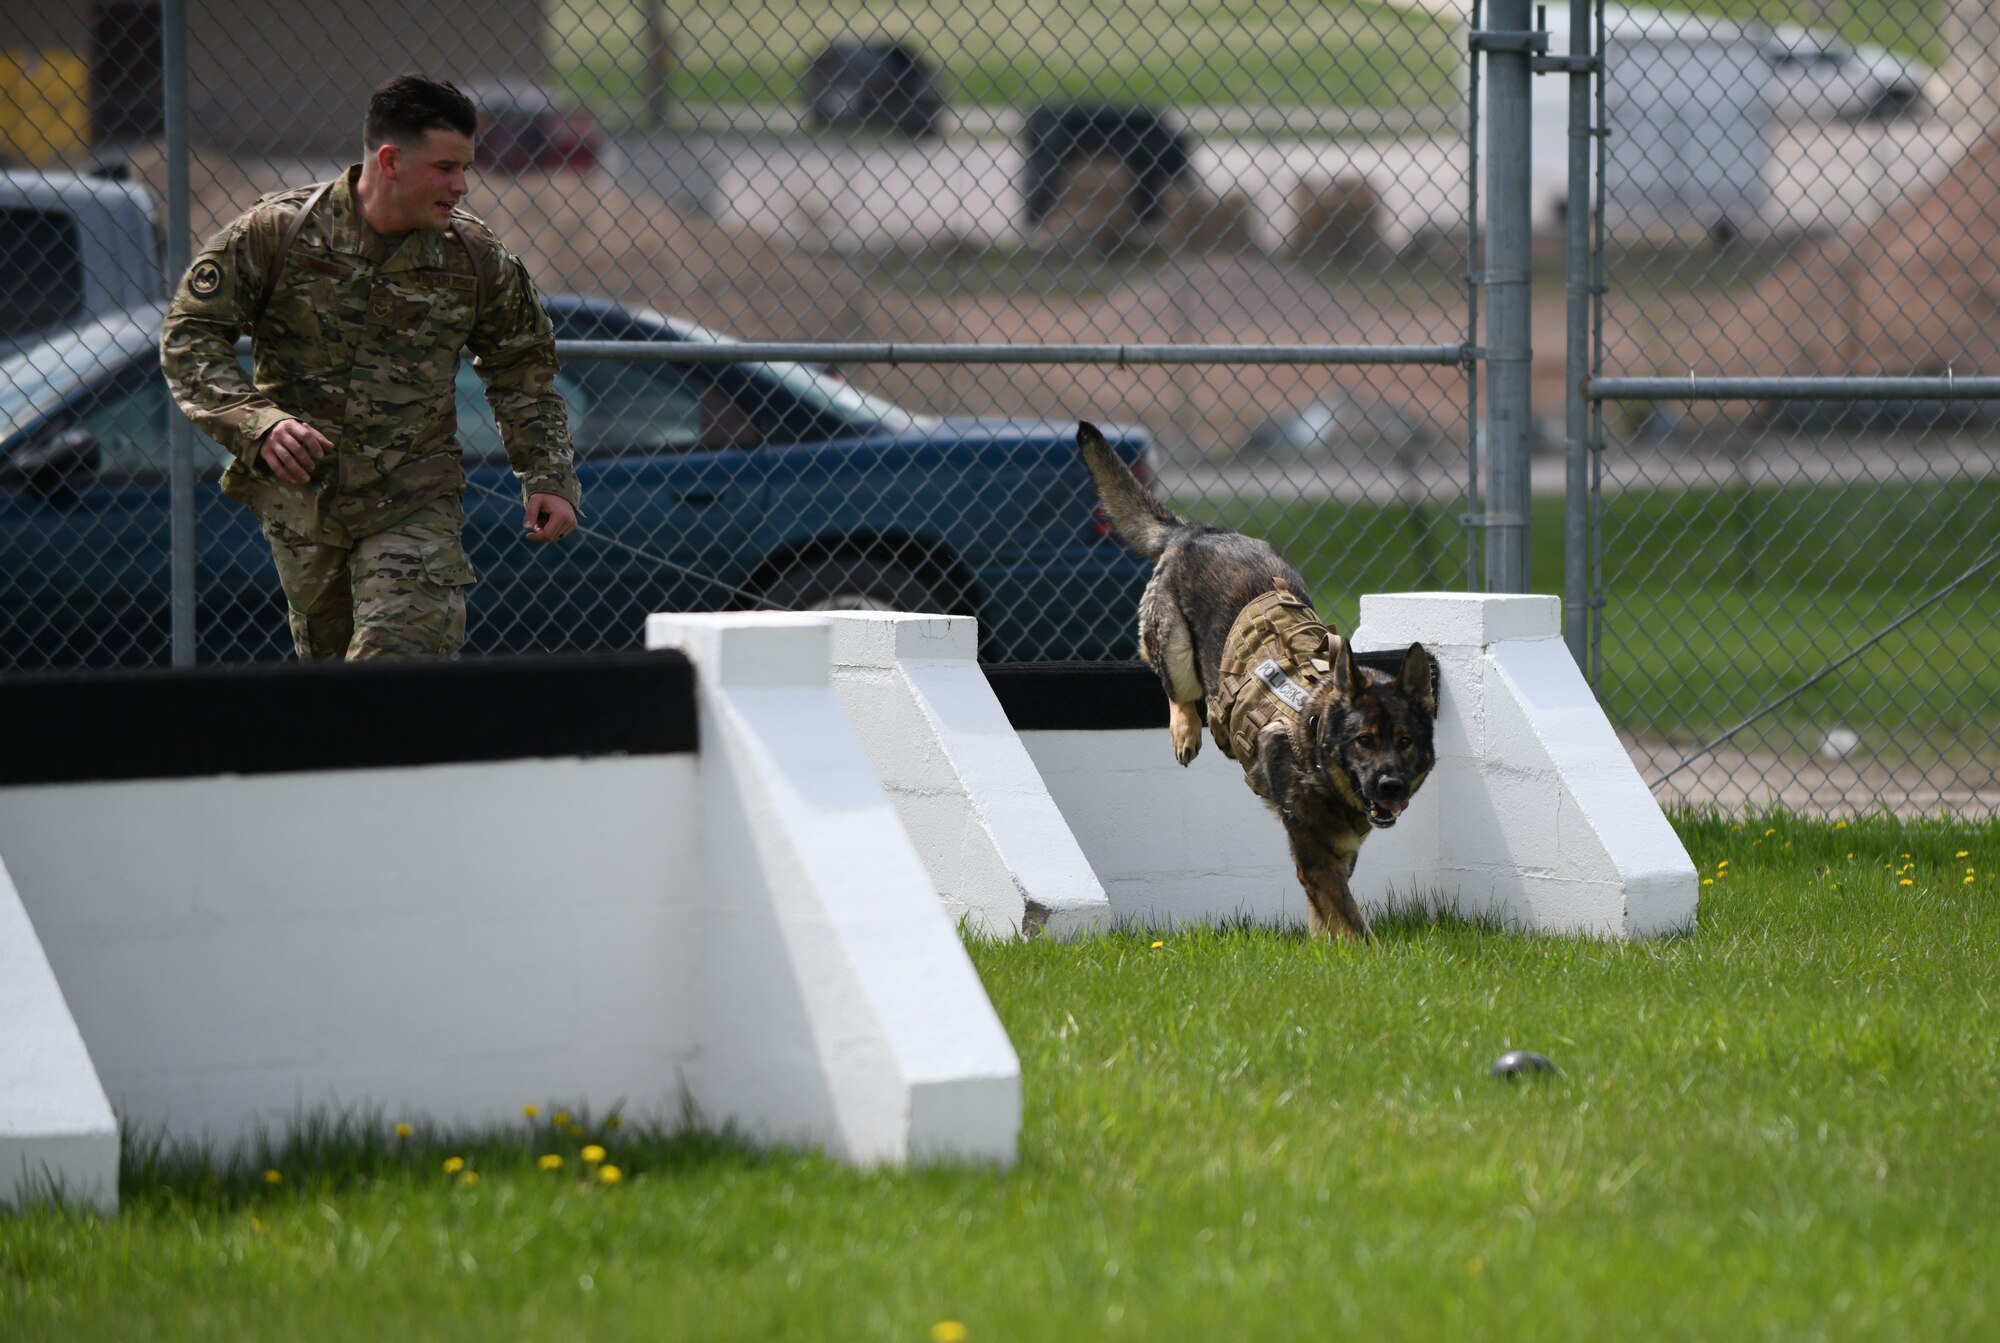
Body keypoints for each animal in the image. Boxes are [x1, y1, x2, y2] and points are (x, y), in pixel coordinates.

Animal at [1080, 425, 1440, 939]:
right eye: (1364, 741)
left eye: (1406, 742)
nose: (1391, 786)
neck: (1314, 734)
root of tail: (1196, 531)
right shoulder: (1317, 860)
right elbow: (1355, 926)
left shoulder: (1332, 858)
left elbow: (1324, 916)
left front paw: (1323, 947)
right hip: (1173, 644)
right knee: (1175, 686)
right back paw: (1186, 730)